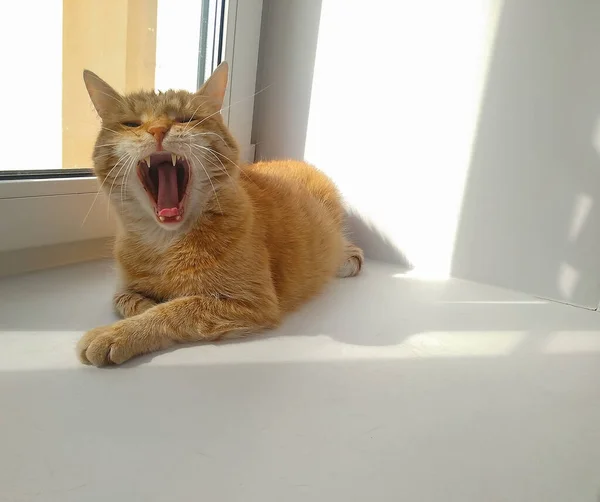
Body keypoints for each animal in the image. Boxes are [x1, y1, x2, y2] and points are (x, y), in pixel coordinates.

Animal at [77, 63, 364, 368]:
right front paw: (145, 306)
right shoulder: (124, 287)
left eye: (186, 119)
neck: (165, 241)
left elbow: (176, 309)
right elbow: (125, 299)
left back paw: (344, 261)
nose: (157, 130)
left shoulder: (250, 301)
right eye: (131, 124)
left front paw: (119, 333)